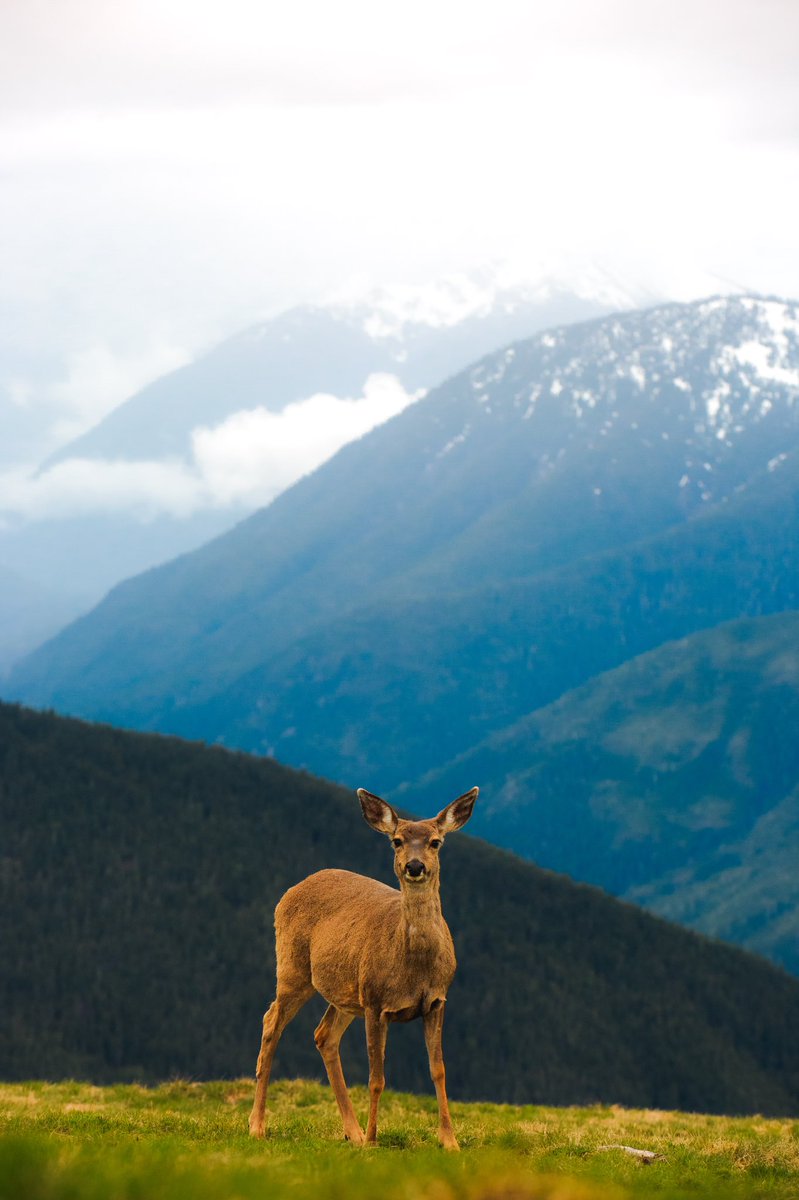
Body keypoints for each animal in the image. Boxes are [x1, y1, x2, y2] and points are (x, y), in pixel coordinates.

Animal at [248, 785, 478, 1150]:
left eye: (435, 842)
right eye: (397, 840)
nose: (414, 866)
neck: (414, 966)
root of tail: (290, 891)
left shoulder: (437, 1000)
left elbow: (438, 1070)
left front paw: (449, 1141)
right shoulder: (375, 1000)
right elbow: (376, 1078)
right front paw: (373, 1140)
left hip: (344, 992)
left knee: (324, 1035)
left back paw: (351, 1132)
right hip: (294, 967)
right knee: (272, 1023)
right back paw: (257, 1125)